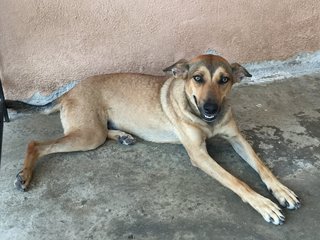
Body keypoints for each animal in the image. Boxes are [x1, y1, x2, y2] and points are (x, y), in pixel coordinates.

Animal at [5, 54, 300, 225]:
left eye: (224, 79)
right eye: (197, 78)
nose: (211, 108)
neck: (205, 120)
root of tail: (69, 91)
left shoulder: (237, 138)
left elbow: (262, 167)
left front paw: (281, 191)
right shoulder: (200, 155)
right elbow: (237, 181)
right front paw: (264, 204)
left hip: (94, 131)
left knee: (104, 132)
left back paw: (123, 135)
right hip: (88, 134)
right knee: (36, 144)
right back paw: (24, 175)